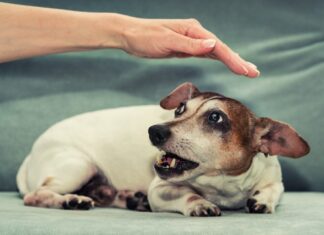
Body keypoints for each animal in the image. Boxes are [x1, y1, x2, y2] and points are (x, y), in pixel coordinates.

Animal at [16, 82, 310, 217]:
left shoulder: (274, 180)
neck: (222, 185)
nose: (154, 130)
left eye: (216, 118)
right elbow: (188, 195)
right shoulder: (161, 189)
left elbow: (272, 191)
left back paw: (130, 198)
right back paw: (70, 200)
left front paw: (262, 201)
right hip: (78, 165)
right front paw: (200, 203)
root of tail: (30, 156)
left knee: (103, 193)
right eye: (180, 109)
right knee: (36, 195)